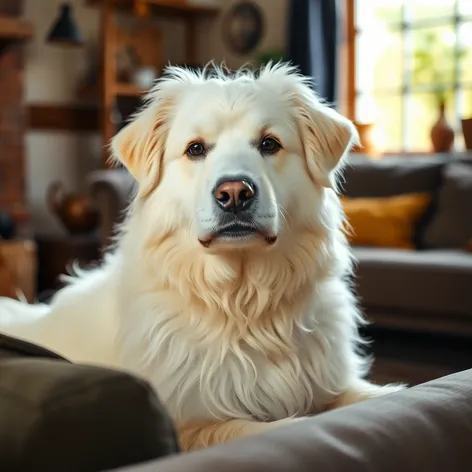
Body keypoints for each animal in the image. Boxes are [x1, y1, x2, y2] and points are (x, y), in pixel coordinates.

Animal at [0, 62, 402, 450]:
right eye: (195, 149)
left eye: (269, 144)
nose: (235, 193)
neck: (241, 303)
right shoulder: (188, 424)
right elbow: (275, 427)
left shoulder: (332, 382)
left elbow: (384, 397)